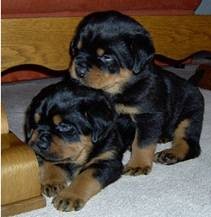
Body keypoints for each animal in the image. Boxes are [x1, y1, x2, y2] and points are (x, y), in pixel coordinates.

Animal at [24, 78, 134, 212]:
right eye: (35, 123)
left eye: (64, 126)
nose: (39, 142)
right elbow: (48, 161)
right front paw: (53, 181)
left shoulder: (107, 161)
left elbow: (85, 177)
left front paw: (69, 196)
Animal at [69, 10, 204, 176]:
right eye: (77, 49)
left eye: (107, 57)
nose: (79, 69)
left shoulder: (148, 116)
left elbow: (142, 143)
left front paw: (137, 165)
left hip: (190, 116)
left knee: (190, 143)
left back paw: (171, 154)